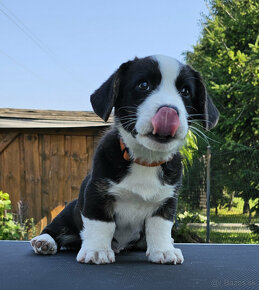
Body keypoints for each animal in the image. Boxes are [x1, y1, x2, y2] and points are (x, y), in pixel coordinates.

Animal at [30, 55, 219, 266]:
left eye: (185, 91)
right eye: (143, 85)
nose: (169, 111)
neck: (145, 160)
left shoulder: (166, 202)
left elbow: (160, 227)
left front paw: (163, 250)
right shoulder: (97, 194)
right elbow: (101, 223)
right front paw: (97, 251)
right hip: (70, 210)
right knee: (55, 228)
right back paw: (44, 242)